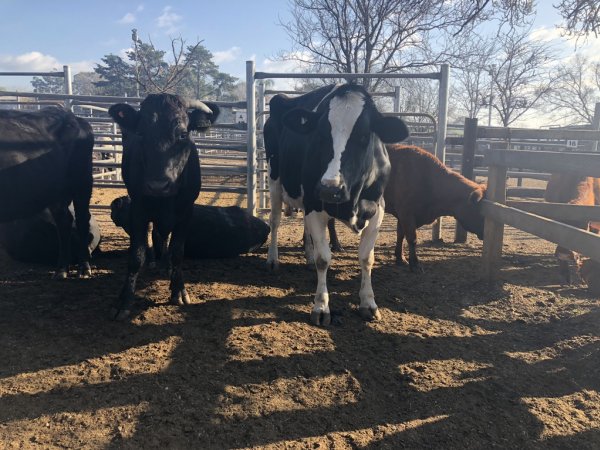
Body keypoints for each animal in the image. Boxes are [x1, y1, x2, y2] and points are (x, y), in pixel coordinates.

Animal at [0, 108, 94, 278]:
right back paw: (61, 269)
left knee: (82, 220)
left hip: (82, 183)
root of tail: (75, 118)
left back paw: (84, 268)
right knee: (64, 221)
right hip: (56, 193)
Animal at [108, 94, 220, 320]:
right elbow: (136, 255)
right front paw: (124, 302)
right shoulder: (139, 210)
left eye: (183, 134)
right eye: (141, 133)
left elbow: (178, 252)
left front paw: (179, 291)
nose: (158, 186)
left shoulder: (186, 212)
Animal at [264, 82, 410, 326]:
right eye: (320, 134)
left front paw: (368, 303)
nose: (330, 188)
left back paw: (308, 256)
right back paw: (273, 260)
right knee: (274, 221)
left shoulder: (377, 209)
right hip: (274, 178)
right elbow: (324, 259)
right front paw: (321, 307)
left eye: (363, 136)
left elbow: (367, 258)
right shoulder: (315, 202)